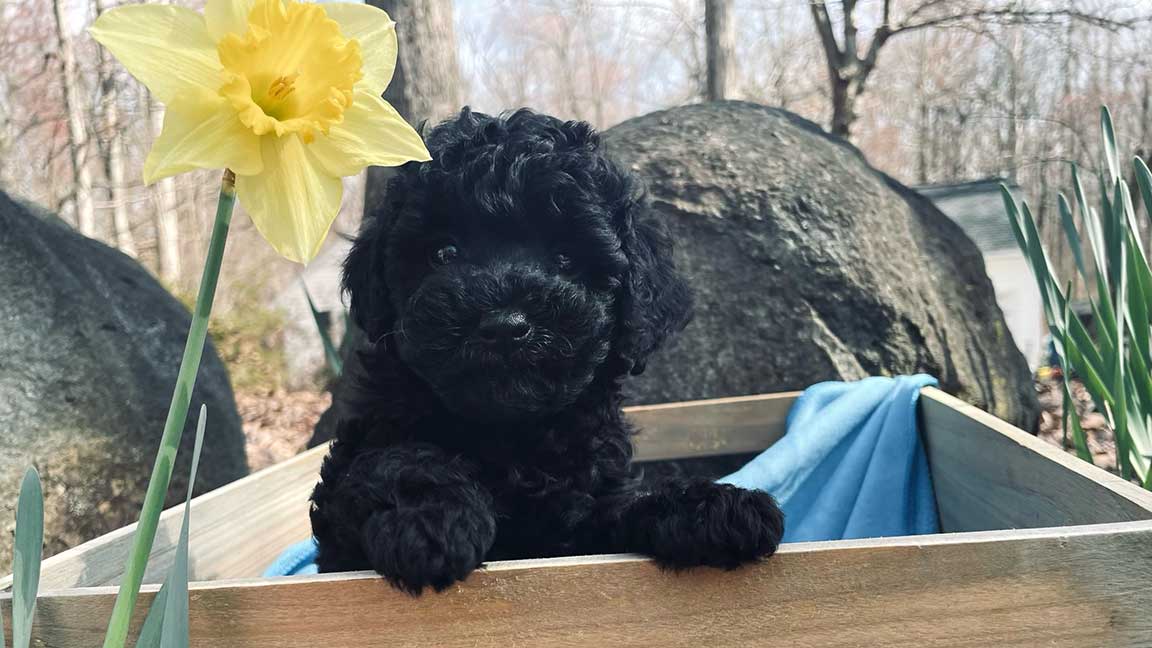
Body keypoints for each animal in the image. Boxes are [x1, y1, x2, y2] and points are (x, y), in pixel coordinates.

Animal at [311, 108, 787, 594]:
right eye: (443, 253)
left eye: (565, 259)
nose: (505, 326)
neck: (510, 434)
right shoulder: (347, 488)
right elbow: (397, 456)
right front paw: (431, 521)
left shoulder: (583, 515)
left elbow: (624, 504)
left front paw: (714, 506)